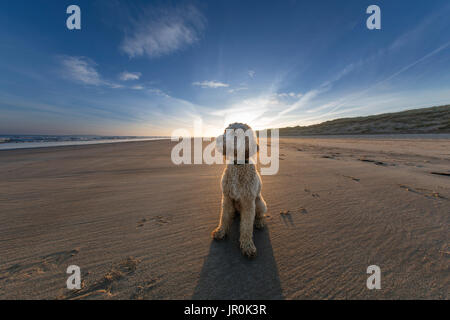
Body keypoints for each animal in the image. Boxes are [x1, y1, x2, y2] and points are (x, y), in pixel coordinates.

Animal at [212, 122, 268, 258]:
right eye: (225, 131)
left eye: (235, 134)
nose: (216, 140)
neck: (238, 165)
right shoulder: (226, 197)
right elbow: (224, 216)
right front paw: (221, 231)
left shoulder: (248, 202)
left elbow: (247, 225)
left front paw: (247, 245)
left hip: (259, 202)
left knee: (260, 214)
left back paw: (259, 222)